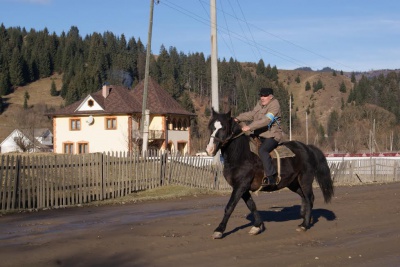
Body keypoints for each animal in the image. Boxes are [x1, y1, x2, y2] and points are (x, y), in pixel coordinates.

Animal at [206, 110, 334, 240]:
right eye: (211, 127)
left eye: (224, 128)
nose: (210, 150)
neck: (241, 155)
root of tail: (307, 148)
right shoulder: (243, 188)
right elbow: (251, 205)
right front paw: (257, 226)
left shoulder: (240, 186)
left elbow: (230, 206)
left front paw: (219, 230)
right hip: (293, 183)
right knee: (303, 197)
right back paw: (305, 217)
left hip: (305, 180)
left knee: (309, 198)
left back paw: (304, 224)